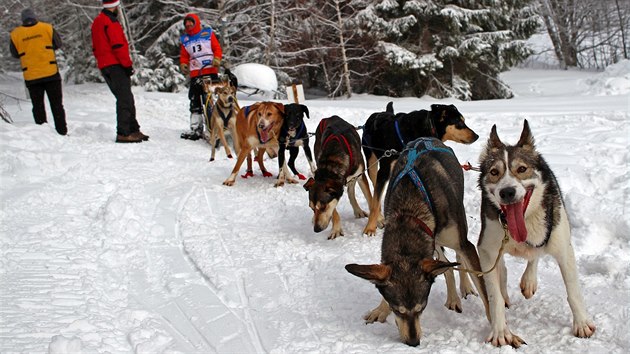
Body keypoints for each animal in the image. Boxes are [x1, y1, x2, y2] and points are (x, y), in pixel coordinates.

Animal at [348, 138, 492, 346]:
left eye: (422, 308)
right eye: (397, 310)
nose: (413, 342)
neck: (409, 212)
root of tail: (426, 138)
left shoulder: (465, 245)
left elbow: (485, 293)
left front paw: (500, 331)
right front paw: (381, 309)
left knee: (457, 260)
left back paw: (464, 287)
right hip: (435, 243)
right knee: (446, 266)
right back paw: (453, 298)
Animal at [360, 102, 478, 235]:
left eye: (464, 121)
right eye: (459, 123)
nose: (477, 136)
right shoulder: (384, 171)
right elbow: (375, 203)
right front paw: (370, 228)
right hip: (372, 164)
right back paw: (379, 218)